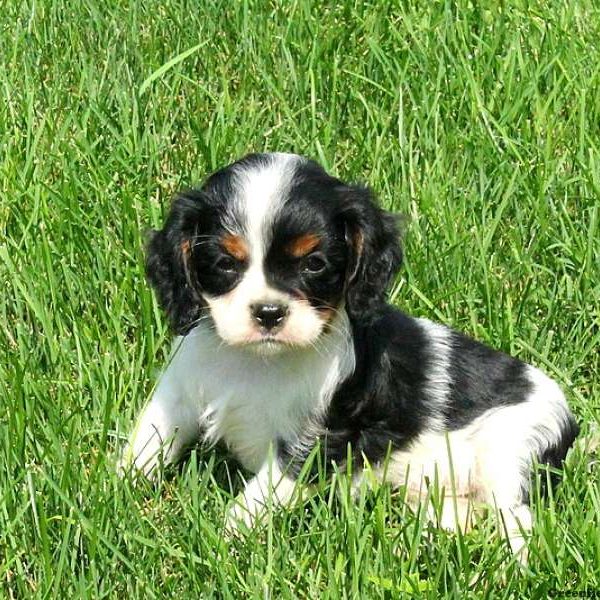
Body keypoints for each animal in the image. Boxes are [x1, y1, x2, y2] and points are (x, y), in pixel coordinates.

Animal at [120, 152, 576, 560]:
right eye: (224, 264)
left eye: (314, 264)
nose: (269, 312)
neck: (257, 362)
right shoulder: (179, 391)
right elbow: (149, 440)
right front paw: (116, 488)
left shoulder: (316, 438)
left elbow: (262, 493)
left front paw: (224, 538)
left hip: (513, 451)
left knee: (517, 520)